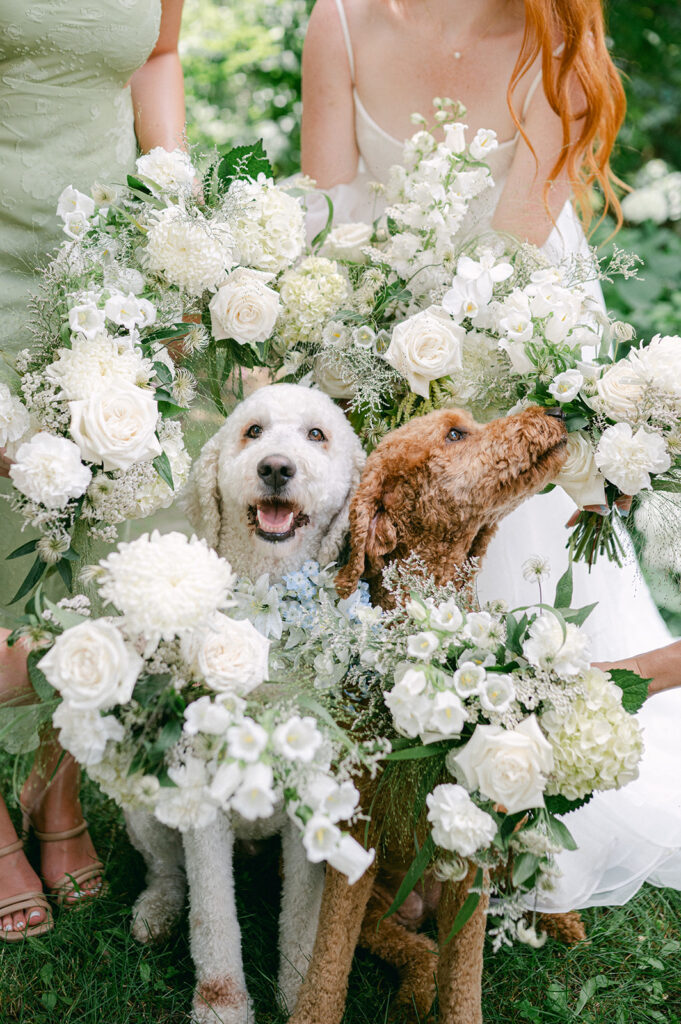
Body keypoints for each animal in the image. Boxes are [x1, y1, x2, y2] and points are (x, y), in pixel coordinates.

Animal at [124, 385, 364, 1024]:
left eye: (316, 435)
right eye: (253, 431)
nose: (276, 468)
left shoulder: (313, 798)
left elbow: (302, 916)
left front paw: (300, 991)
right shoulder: (202, 803)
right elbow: (212, 917)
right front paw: (221, 1004)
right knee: (166, 870)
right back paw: (156, 908)